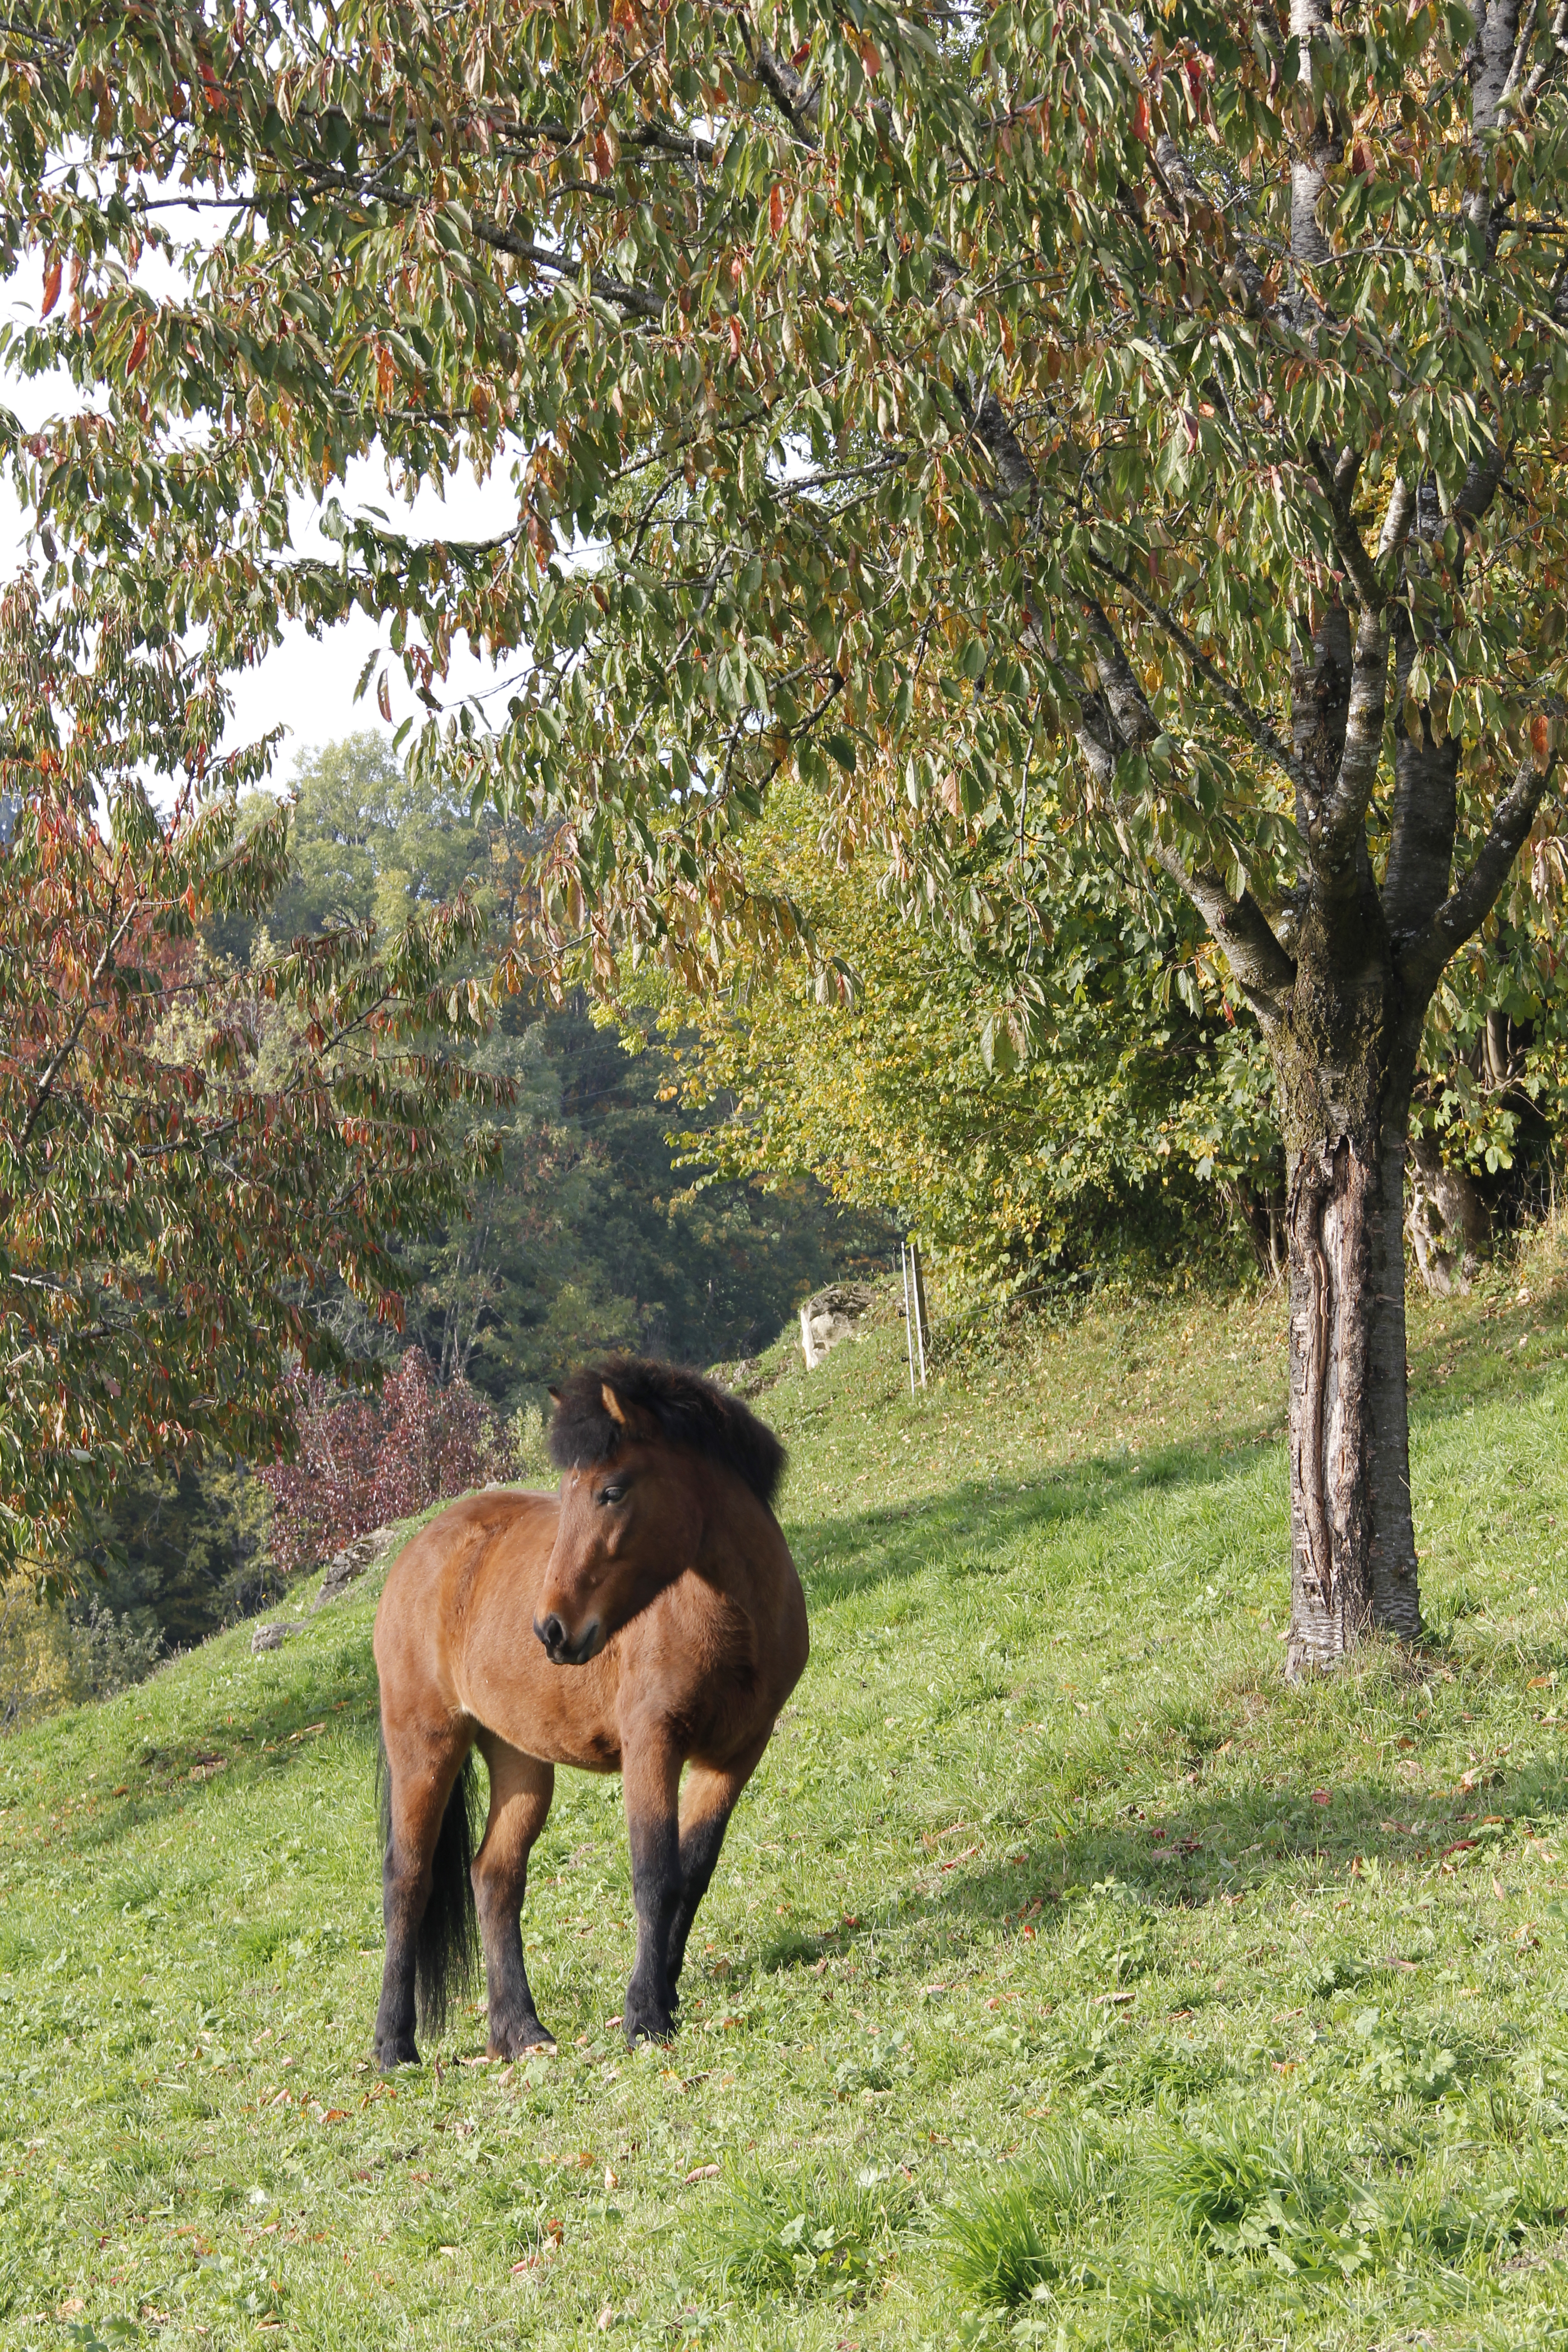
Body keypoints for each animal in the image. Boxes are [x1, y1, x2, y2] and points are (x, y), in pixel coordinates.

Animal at [369, 1364, 808, 2060]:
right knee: (408, 1882)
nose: (551, 1630)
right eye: (569, 1492)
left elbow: (694, 1872)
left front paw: (665, 1993)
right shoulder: (653, 1745)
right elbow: (655, 1876)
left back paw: (520, 2031)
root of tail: (418, 1555)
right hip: (425, 1748)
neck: (733, 1625)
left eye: (612, 1491)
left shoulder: (737, 1755)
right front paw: (645, 2014)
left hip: (520, 1761)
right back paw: (394, 2046)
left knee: (494, 1877)